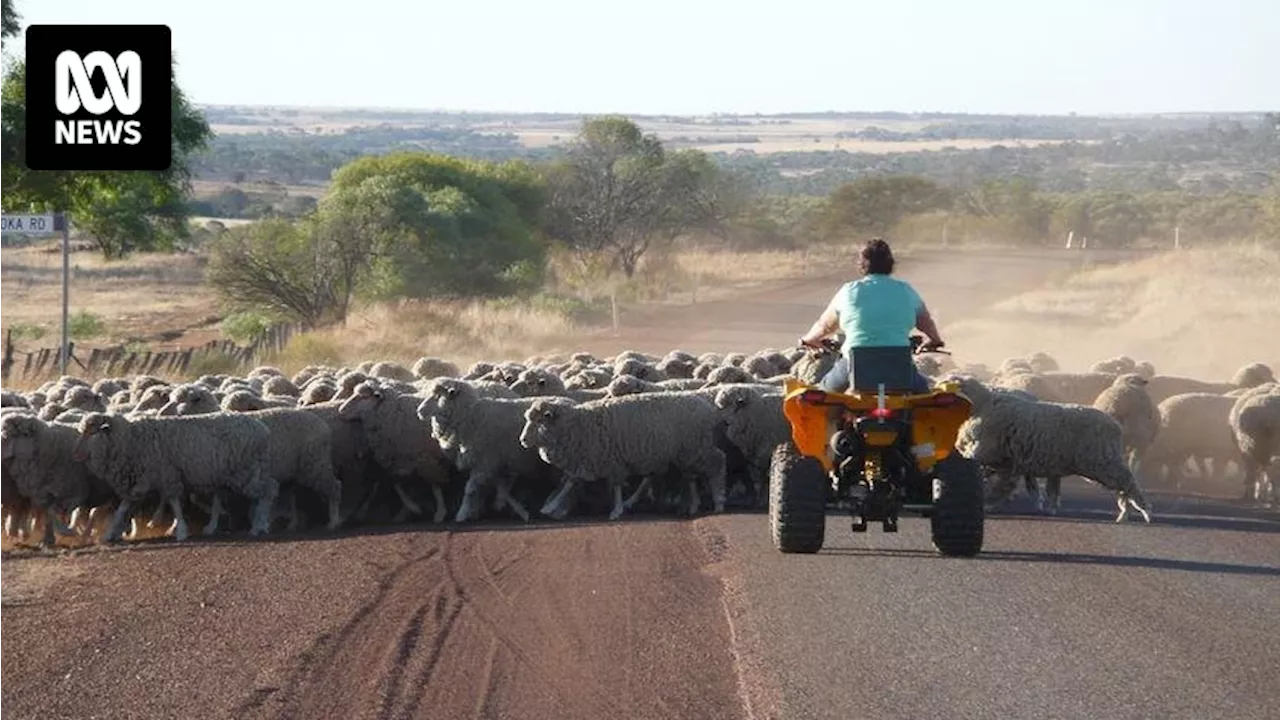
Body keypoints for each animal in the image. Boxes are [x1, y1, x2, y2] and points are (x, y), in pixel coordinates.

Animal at [73, 409, 277, 538]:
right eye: (81, 431)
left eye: (92, 433)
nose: (76, 454)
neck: (129, 440)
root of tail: (263, 428)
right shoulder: (139, 481)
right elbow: (123, 508)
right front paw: (109, 534)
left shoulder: (168, 475)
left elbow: (174, 503)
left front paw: (181, 532)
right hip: (240, 472)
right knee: (261, 492)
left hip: (246, 470)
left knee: (268, 492)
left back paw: (258, 526)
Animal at [417, 376, 568, 520]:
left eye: (438, 396)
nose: (419, 411)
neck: (470, 416)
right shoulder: (493, 462)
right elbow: (494, 487)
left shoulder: (485, 462)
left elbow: (471, 489)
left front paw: (463, 513)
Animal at [514, 389, 727, 517]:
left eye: (539, 421)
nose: (522, 441)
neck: (578, 425)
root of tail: (708, 407)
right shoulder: (586, 458)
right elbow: (570, 483)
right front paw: (549, 507)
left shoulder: (611, 461)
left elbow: (615, 486)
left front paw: (616, 511)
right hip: (684, 453)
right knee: (688, 477)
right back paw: (694, 504)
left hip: (696, 447)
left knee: (718, 463)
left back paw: (719, 501)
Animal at [952, 376, 1152, 520]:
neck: (982, 404)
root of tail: (1115, 425)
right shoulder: (1004, 461)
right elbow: (1002, 485)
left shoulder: (985, 453)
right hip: (1104, 463)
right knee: (1124, 486)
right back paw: (1125, 512)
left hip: (1103, 462)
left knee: (1128, 483)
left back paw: (1140, 511)